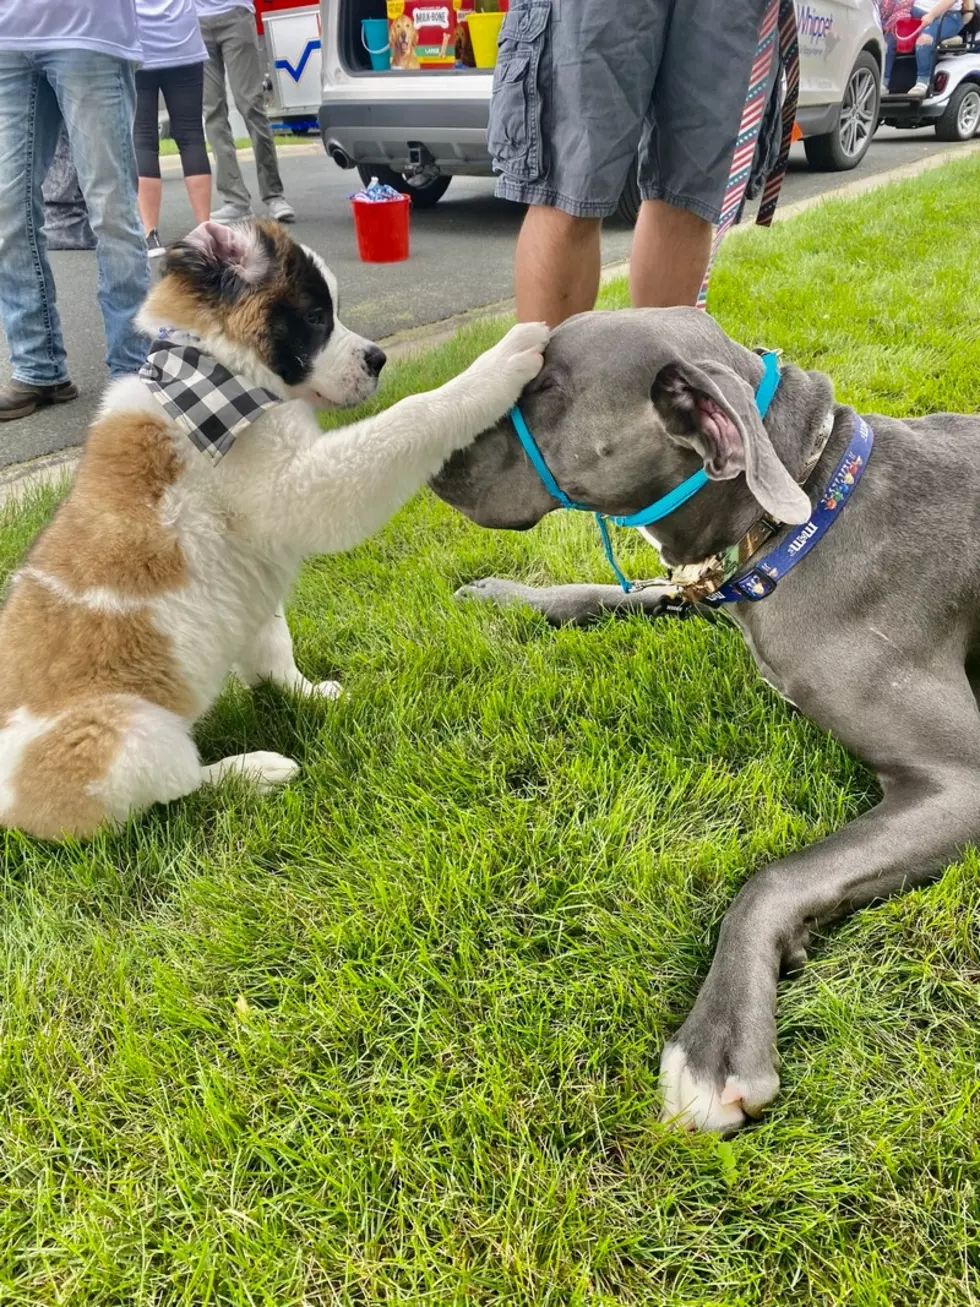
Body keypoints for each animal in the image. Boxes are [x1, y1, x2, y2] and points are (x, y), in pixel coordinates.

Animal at [0, 218, 554, 836]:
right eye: (314, 317)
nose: (378, 358)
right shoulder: (306, 485)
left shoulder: (254, 585)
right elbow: (411, 414)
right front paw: (501, 361)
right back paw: (254, 772)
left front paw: (309, 694)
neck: (221, 375)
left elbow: (273, 649)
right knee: (179, 790)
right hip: (126, 736)